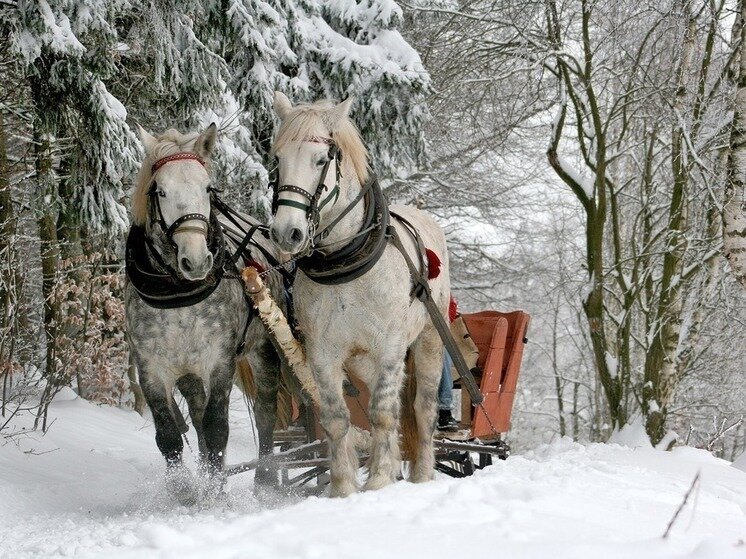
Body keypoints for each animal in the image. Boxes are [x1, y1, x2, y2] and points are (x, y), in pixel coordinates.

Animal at [268, 93, 448, 498]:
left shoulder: (391, 346)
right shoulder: (322, 351)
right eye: (278, 159)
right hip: (362, 360)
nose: (287, 232)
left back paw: (422, 474)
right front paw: (343, 487)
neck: (345, 261)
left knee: (422, 408)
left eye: (321, 160)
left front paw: (380, 479)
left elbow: (383, 412)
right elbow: (337, 418)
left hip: (429, 339)